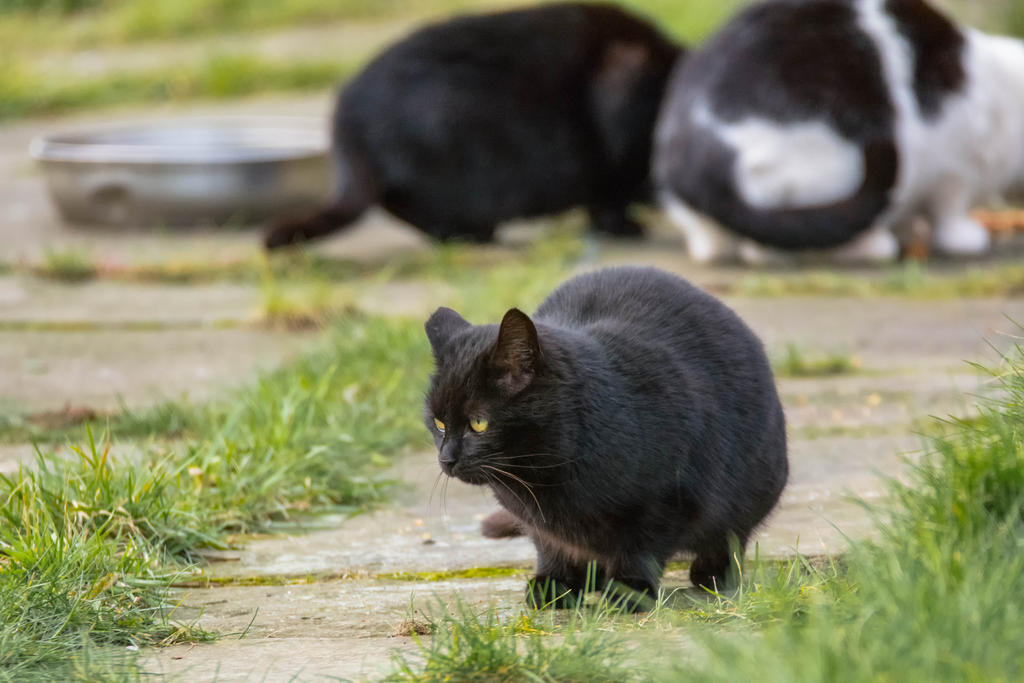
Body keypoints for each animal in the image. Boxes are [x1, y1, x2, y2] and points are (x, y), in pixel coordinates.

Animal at [264, 3, 682, 249]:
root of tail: (347, 119)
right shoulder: (621, 102)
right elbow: (610, 194)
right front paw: (622, 226)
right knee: (403, 204)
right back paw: (467, 233)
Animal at [424, 266, 788, 608]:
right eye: (439, 422)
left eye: (479, 423)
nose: (447, 458)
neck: (547, 479)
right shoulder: (539, 522)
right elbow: (551, 545)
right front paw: (554, 584)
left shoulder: (668, 499)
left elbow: (641, 548)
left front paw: (629, 591)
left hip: (754, 486)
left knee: (730, 536)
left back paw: (714, 573)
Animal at [654, 0, 1024, 264]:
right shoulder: (954, 161)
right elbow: (950, 208)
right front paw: (961, 235)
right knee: (776, 246)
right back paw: (874, 244)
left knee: (717, 244)